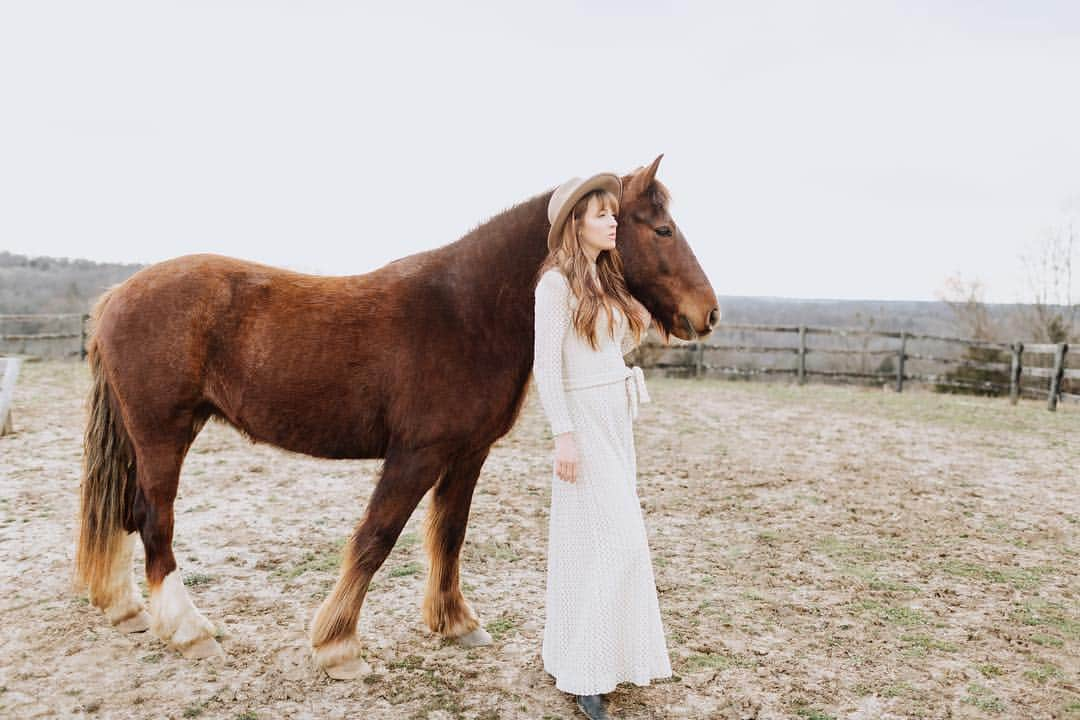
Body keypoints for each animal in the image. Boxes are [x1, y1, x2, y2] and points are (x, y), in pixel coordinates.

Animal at [73, 153, 717, 682]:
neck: (468, 311)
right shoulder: (416, 456)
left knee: (127, 514)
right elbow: (376, 537)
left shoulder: (467, 454)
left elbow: (450, 535)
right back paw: (189, 630)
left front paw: (455, 623)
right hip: (164, 432)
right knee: (155, 521)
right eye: (661, 228)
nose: (707, 314)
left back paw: (128, 609)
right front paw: (338, 647)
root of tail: (116, 296)